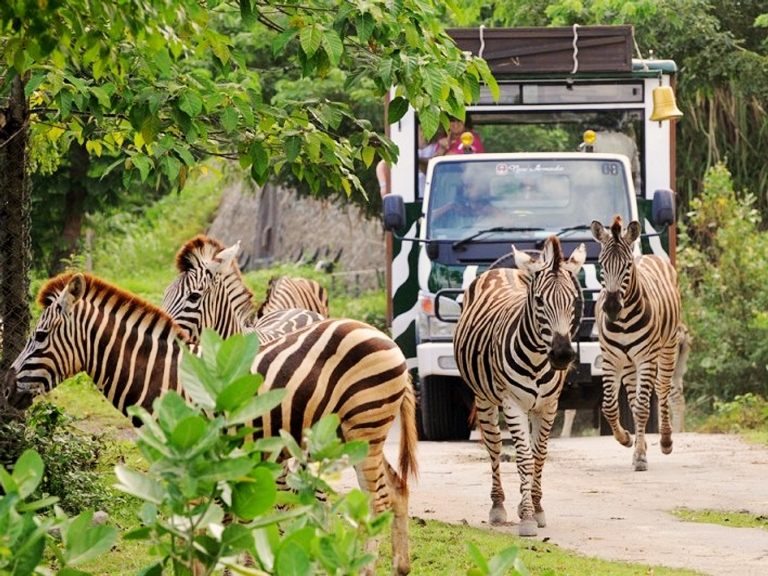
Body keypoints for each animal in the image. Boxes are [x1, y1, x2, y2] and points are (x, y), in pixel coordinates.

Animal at [4, 274, 420, 576]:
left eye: (39, 336)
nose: (6, 388)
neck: (166, 378)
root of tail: (386, 338)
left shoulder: (196, 459)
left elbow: (199, 534)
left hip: (364, 427)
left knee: (377, 500)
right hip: (357, 433)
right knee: (397, 489)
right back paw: (400, 567)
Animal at [452, 236, 584, 536]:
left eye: (574, 299)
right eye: (539, 300)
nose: (562, 355)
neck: (536, 358)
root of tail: (503, 270)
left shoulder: (548, 406)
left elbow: (539, 457)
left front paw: (536, 508)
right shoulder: (513, 404)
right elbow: (523, 457)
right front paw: (526, 518)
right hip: (484, 400)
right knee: (495, 447)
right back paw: (498, 506)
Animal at [592, 216, 680, 472]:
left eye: (627, 266)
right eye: (601, 264)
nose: (611, 307)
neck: (622, 321)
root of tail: (649, 255)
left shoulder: (646, 358)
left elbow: (642, 407)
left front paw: (640, 456)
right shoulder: (610, 359)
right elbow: (610, 406)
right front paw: (626, 439)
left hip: (667, 347)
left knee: (662, 389)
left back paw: (665, 441)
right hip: (629, 363)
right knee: (632, 397)